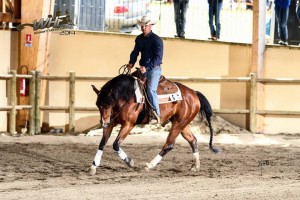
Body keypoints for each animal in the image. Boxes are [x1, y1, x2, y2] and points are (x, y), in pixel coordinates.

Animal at [89, 71, 218, 174]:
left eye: (107, 104)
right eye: (98, 105)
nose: (103, 122)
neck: (126, 95)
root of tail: (194, 93)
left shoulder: (128, 124)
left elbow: (116, 144)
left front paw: (130, 162)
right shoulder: (111, 124)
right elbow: (102, 143)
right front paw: (93, 166)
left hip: (179, 123)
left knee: (169, 144)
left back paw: (149, 165)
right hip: (183, 124)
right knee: (193, 140)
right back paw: (195, 166)